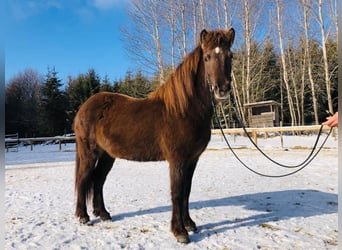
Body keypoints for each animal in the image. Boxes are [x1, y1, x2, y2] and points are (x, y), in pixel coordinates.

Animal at [74, 28, 235, 243]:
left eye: (230, 56)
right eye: (207, 57)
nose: (222, 89)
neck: (184, 110)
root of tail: (84, 108)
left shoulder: (192, 160)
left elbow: (187, 192)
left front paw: (190, 224)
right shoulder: (177, 160)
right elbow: (177, 193)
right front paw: (179, 232)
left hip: (108, 155)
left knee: (98, 180)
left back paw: (104, 214)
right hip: (89, 153)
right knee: (83, 179)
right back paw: (83, 216)